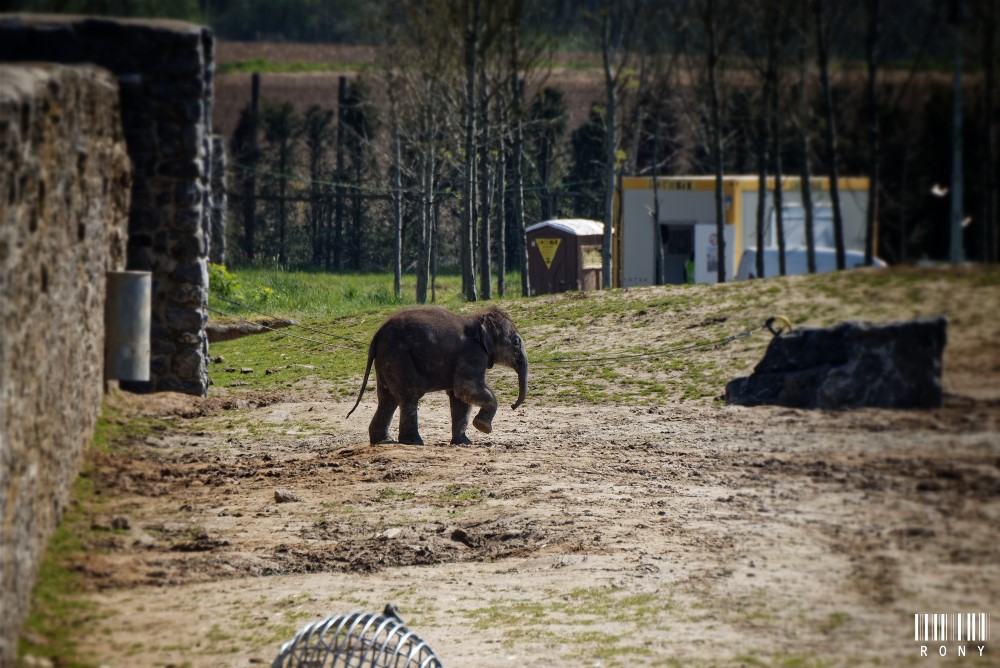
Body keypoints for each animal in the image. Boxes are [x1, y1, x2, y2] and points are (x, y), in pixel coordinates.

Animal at [346, 306, 528, 444]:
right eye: (516, 342)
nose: (513, 406)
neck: (477, 320)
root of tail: (377, 334)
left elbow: (459, 397)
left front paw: (464, 443)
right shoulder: (472, 354)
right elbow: (466, 389)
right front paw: (482, 427)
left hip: (387, 359)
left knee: (388, 399)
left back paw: (384, 441)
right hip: (399, 356)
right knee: (410, 394)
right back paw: (414, 442)